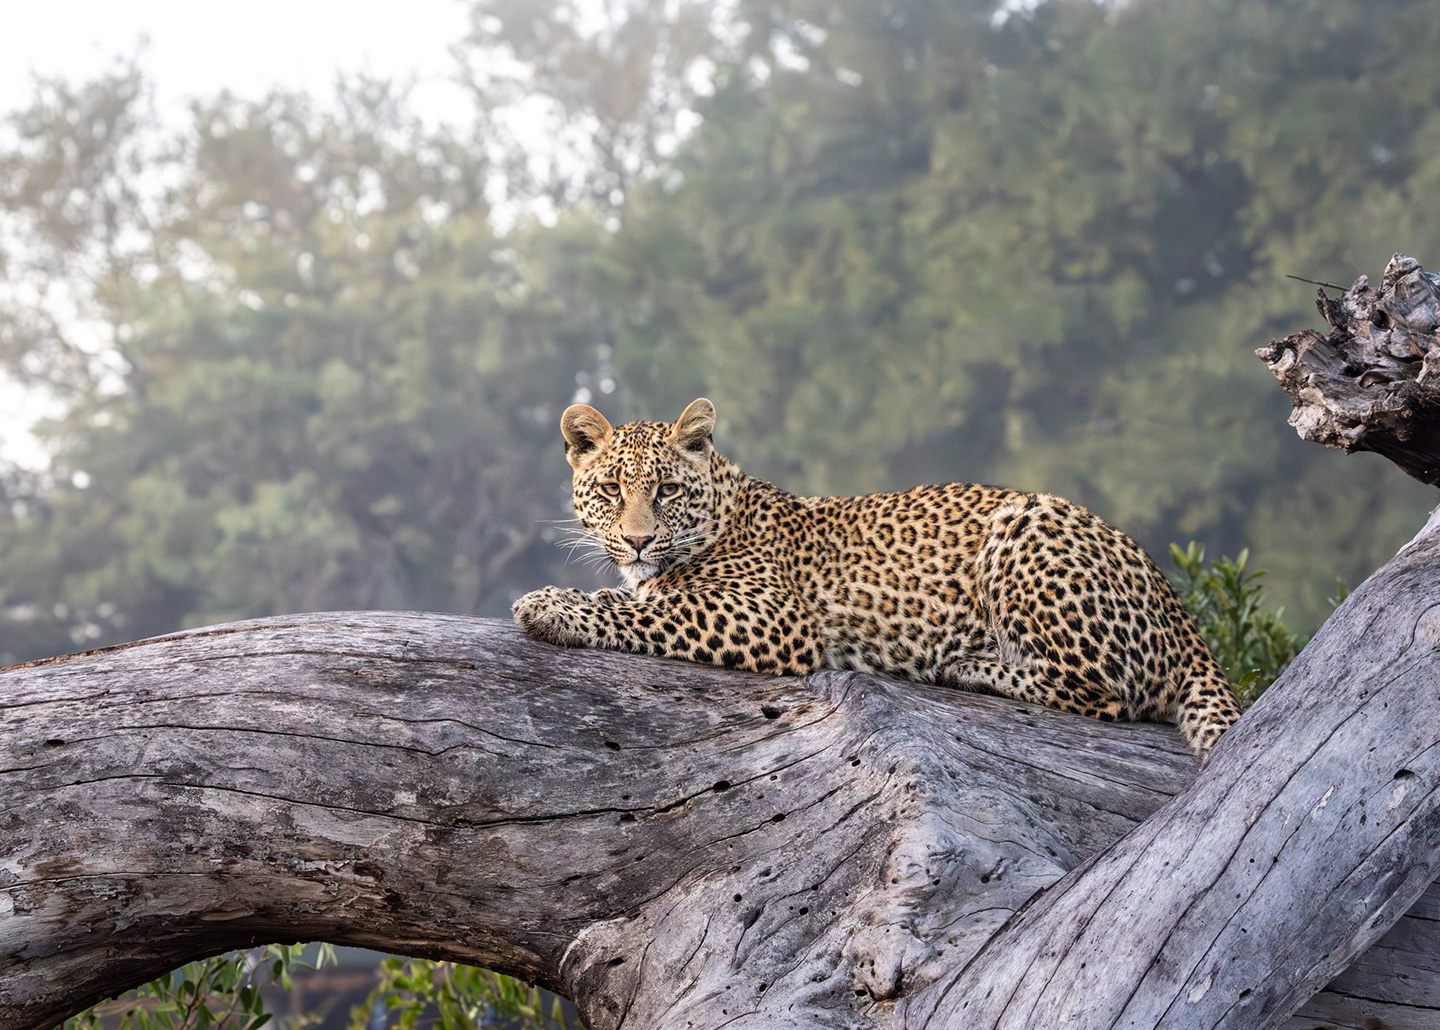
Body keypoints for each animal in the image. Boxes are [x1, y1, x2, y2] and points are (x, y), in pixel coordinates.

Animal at [515, 397, 1238, 754]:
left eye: (665, 490)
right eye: (610, 490)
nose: (638, 540)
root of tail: (1178, 608)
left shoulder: (775, 614)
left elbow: (645, 609)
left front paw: (549, 604)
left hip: (1027, 525)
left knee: (1103, 692)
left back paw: (966, 665)